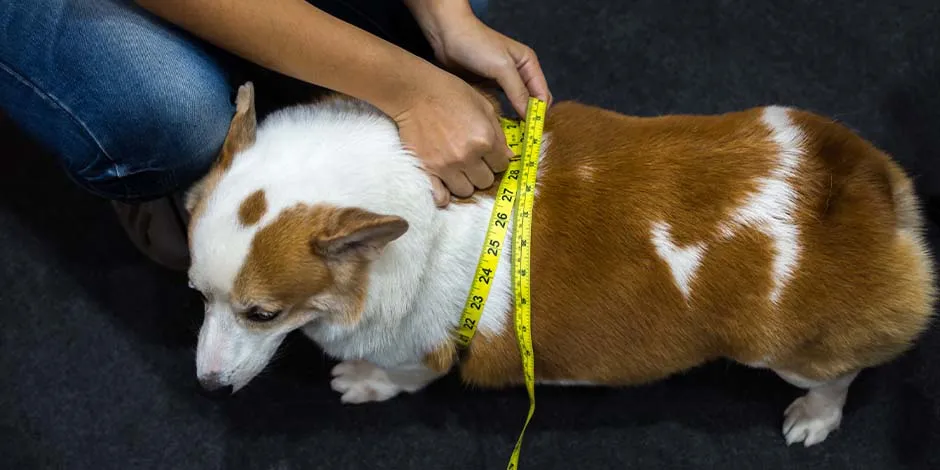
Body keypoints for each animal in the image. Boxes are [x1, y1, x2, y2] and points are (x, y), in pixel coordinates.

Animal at [182, 82, 932, 446]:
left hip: (786, 353)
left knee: (841, 374)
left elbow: (399, 377)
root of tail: (863, 186)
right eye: (196, 295)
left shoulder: (419, 353)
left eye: (262, 313)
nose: (207, 390)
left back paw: (814, 417)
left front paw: (360, 382)